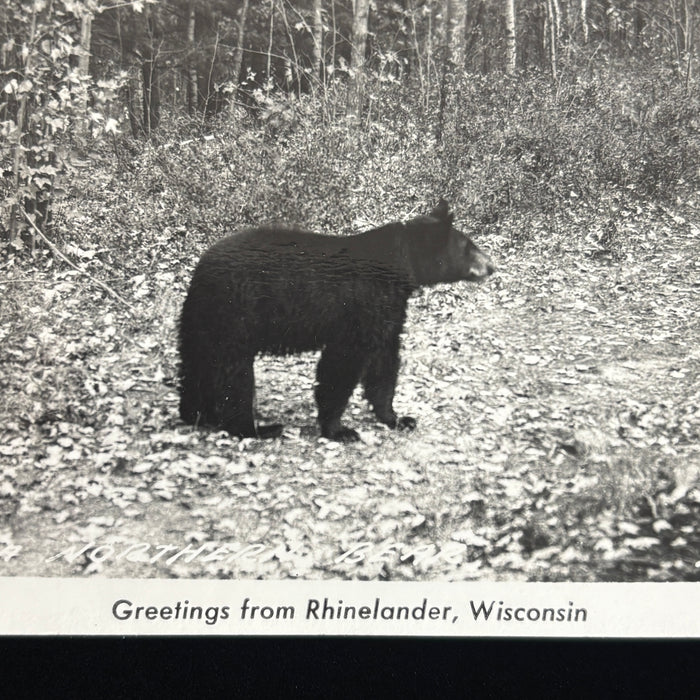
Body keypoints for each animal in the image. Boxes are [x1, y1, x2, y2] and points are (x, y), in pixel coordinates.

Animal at [178, 199, 494, 442]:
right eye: (469, 246)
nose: (491, 266)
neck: (400, 265)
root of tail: (201, 268)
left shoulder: (387, 309)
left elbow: (384, 359)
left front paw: (396, 417)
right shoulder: (361, 304)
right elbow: (342, 363)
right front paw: (339, 430)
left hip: (203, 319)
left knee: (196, 363)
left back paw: (197, 414)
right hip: (235, 312)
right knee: (234, 373)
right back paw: (255, 428)